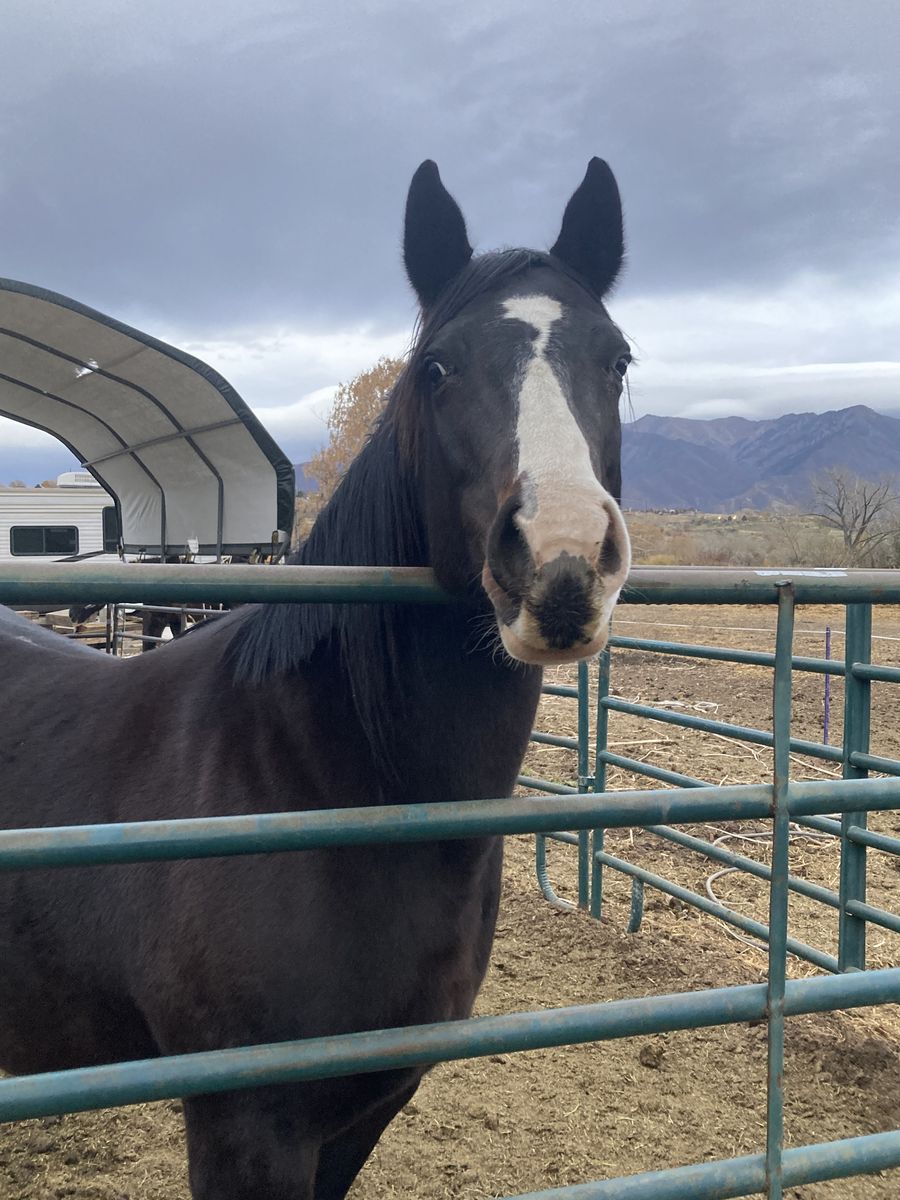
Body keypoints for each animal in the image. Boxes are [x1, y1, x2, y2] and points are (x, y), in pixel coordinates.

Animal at [0, 158, 632, 1200]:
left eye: (617, 360)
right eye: (436, 368)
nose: (564, 560)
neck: (327, 775)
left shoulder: (363, 1111)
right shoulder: (247, 1129)